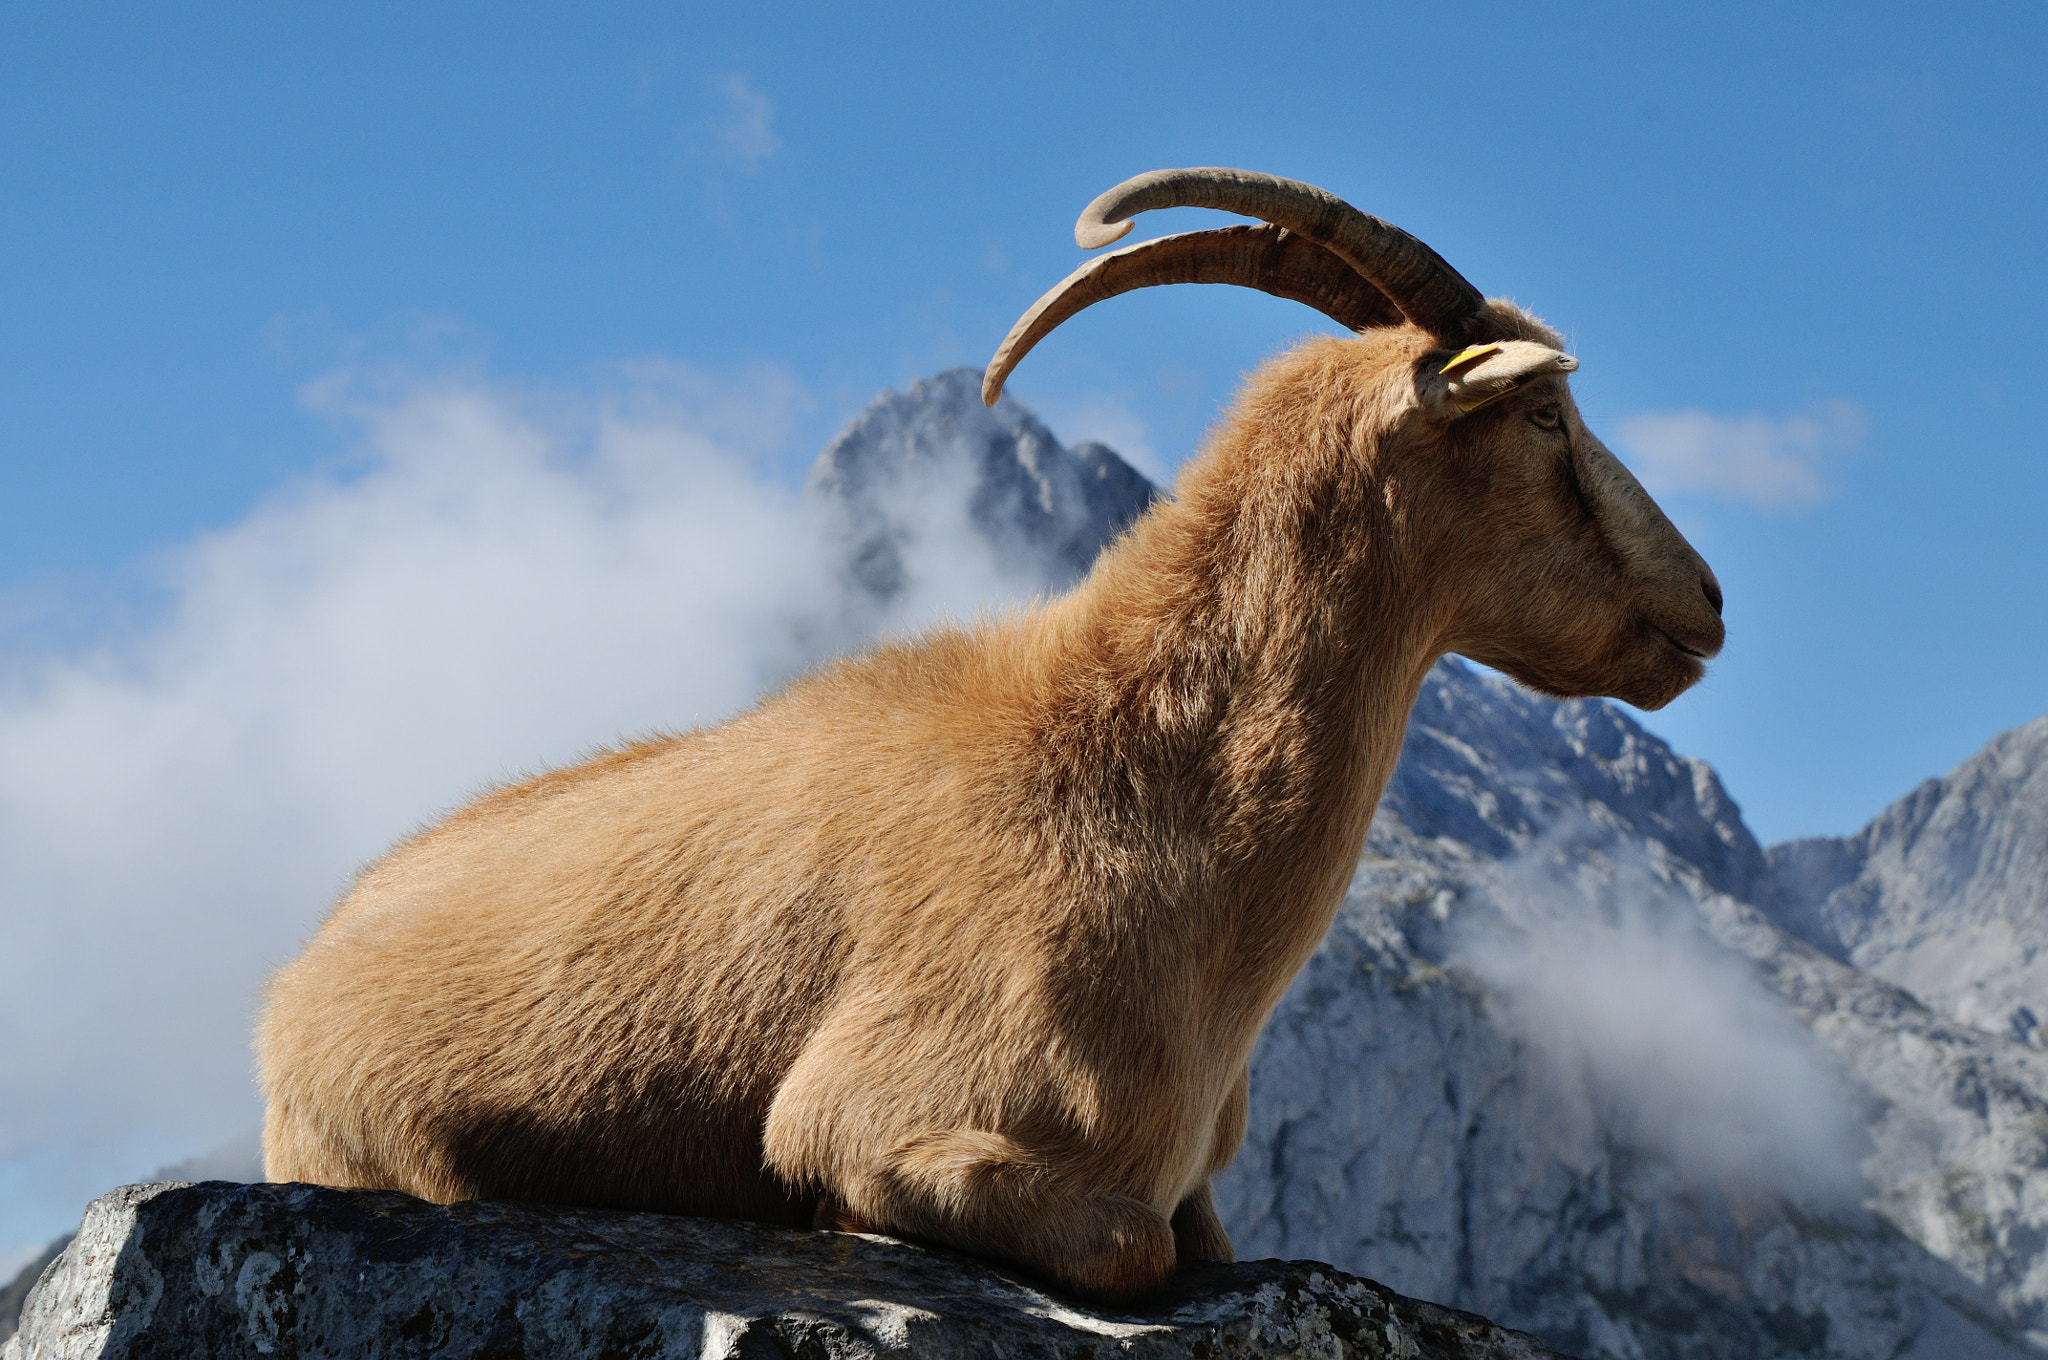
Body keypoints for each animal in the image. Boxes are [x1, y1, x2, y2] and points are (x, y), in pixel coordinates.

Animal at [258, 168, 1725, 1304]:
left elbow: (1193, 1240)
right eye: (1546, 413)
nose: (1704, 602)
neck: (1151, 797)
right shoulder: (877, 1109)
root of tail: (296, 980)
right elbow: (1126, 1248)